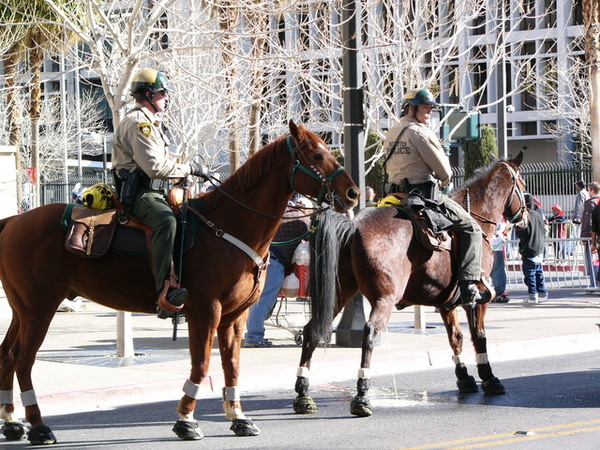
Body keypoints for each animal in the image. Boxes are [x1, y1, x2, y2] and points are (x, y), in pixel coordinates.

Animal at [0, 119, 358, 442]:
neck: (230, 227)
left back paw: (13, 422)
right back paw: (39, 426)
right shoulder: (206, 311)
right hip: (40, 309)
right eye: (316, 154)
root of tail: (13, 221)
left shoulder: (235, 316)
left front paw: (238, 417)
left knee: (7, 355)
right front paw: (186, 420)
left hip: (22, 311)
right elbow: (201, 364)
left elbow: (232, 365)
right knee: (24, 360)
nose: (353, 193)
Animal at [292, 152, 528, 418]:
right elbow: (479, 336)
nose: (525, 218)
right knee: (369, 334)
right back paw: (362, 396)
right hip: (384, 299)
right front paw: (488, 378)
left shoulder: (446, 303)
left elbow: (455, 337)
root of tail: (353, 226)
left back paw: (303, 393)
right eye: (522, 185)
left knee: (312, 330)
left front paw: (464, 378)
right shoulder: (476, 299)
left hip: (339, 293)